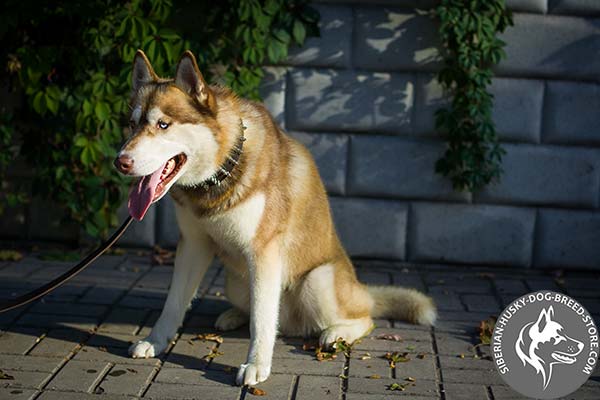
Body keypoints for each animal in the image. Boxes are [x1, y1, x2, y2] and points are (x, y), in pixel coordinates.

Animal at [116, 50, 436, 384]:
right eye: (132, 124)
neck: (221, 172)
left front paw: (256, 364)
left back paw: (337, 333)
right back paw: (233, 315)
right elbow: (174, 302)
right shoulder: (193, 243)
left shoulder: (264, 252)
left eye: (163, 124)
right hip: (236, 281)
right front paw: (155, 340)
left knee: (364, 317)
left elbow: (262, 319)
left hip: (316, 282)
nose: (120, 162)